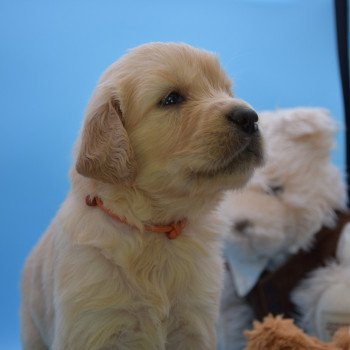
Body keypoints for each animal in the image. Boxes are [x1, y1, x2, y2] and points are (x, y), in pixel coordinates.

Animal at [21, 42, 262, 348]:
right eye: (172, 98)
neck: (155, 229)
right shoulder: (92, 324)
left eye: (227, 91)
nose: (250, 117)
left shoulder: (195, 322)